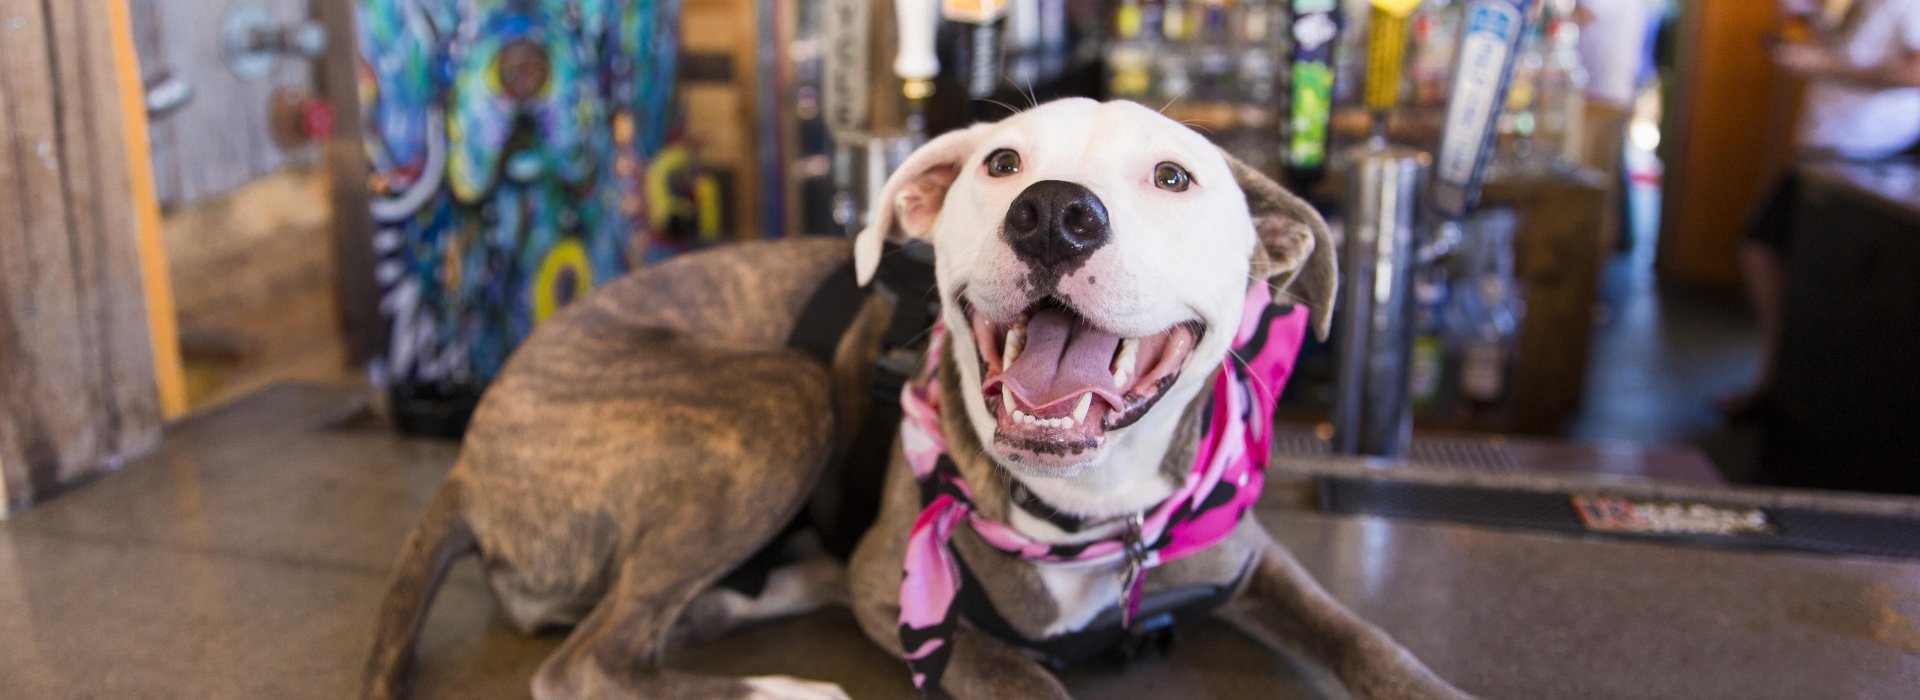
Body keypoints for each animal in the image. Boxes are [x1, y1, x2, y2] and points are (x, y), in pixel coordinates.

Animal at [362, 98, 1466, 698]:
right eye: (1002, 163)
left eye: (1174, 177)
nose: (1053, 212)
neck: (1095, 513)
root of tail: (468, 455)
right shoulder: (909, 601)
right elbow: (1025, 674)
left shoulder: (1251, 557)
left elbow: (1362, 633)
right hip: (781, 395)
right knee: (592, 659)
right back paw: (786, 685)